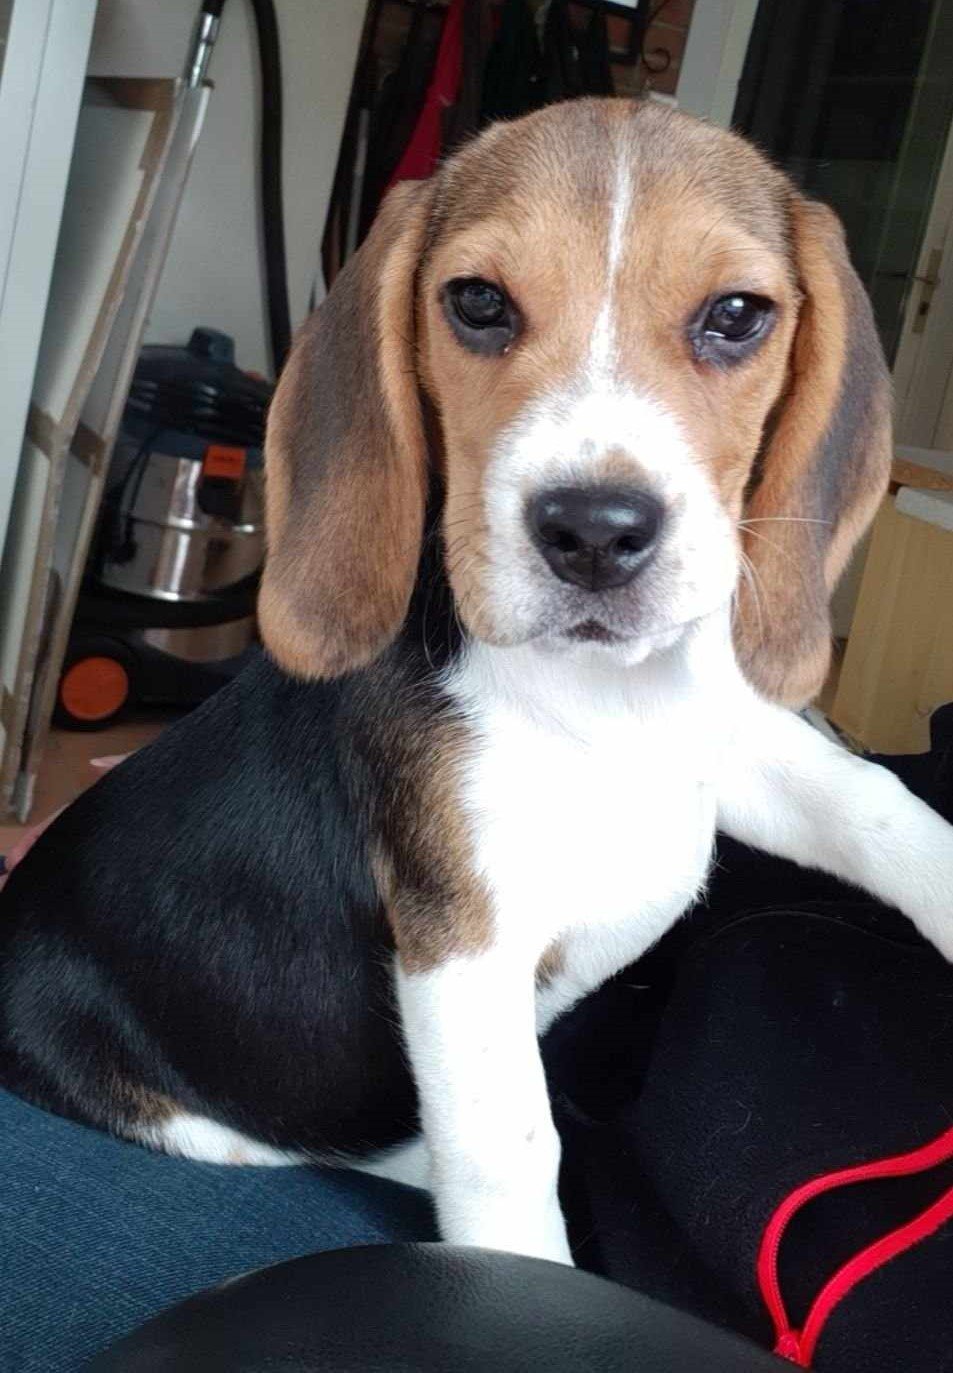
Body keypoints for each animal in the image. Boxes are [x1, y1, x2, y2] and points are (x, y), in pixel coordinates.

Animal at [3, 99, 952, 1266]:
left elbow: (874, 800)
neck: (604, 698)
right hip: (170, 1099)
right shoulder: (461, 949)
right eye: (478, 303)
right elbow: (509, 1151)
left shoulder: (724, 750)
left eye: (736, 314)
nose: (594, 532)